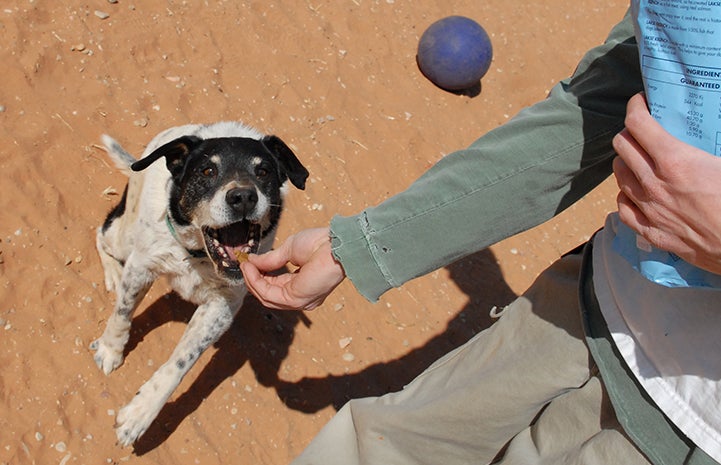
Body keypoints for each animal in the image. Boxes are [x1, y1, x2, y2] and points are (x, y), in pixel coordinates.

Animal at [91, 121, 308, 444]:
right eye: (207, 171)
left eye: (264, 171)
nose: (243, 197)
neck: (197, 256)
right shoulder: (141, 267)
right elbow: (122, 313)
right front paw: (110, 349)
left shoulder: (222, 307)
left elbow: (181, 362)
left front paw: (140, 414)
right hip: (124, 236)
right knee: (101, 233)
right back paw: (113, 273)